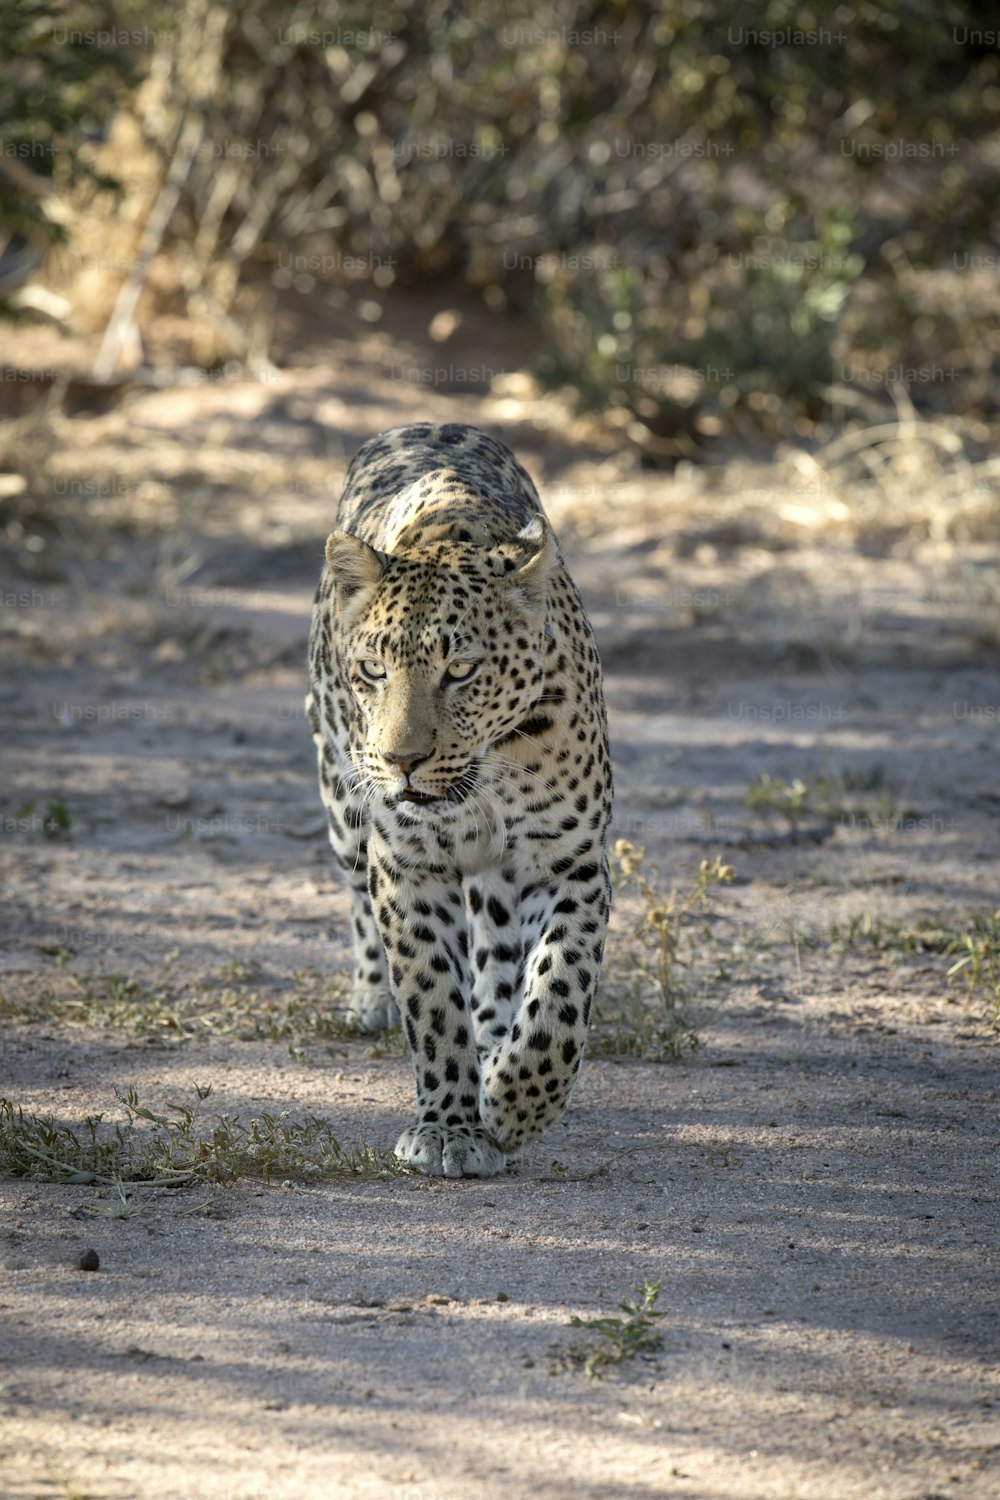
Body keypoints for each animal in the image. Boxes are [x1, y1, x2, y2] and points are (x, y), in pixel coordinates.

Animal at [308, 420, 614, 1170]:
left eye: (462, 670)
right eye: (373, 670)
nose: (402, 761)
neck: (488, 775)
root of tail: (417, 424)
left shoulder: (572, 862)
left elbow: (560, 992)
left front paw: (513, 1101)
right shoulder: (407, 864)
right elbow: (431, 997)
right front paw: (449, 1126)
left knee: (500, 960)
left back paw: (495, 1042)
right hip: (341, 802)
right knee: (359, 898)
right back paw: (372, 1001)